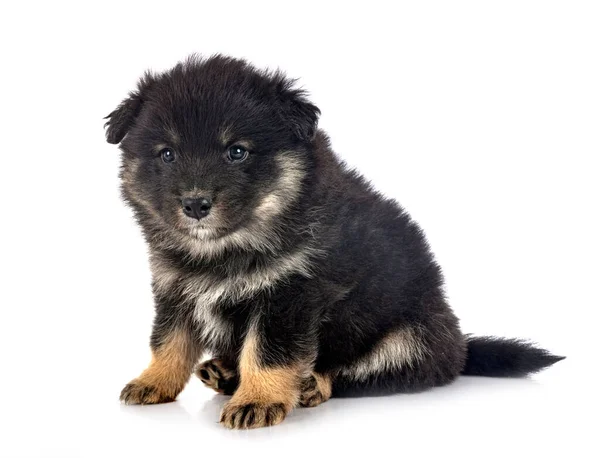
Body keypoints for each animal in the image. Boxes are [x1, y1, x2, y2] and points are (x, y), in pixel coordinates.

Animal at [104, 54, 564, 430]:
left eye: (236, 152)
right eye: (167, 154)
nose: (195, 204)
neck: (226, 248)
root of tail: (460, 347)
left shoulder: (289, 295)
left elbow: (269, 351)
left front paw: (258, 399)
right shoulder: (175, 286)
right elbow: (169, 340)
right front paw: (153, 380)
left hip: (411, 337)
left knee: (360, 373)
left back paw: (308, 384)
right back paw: (225, 371)